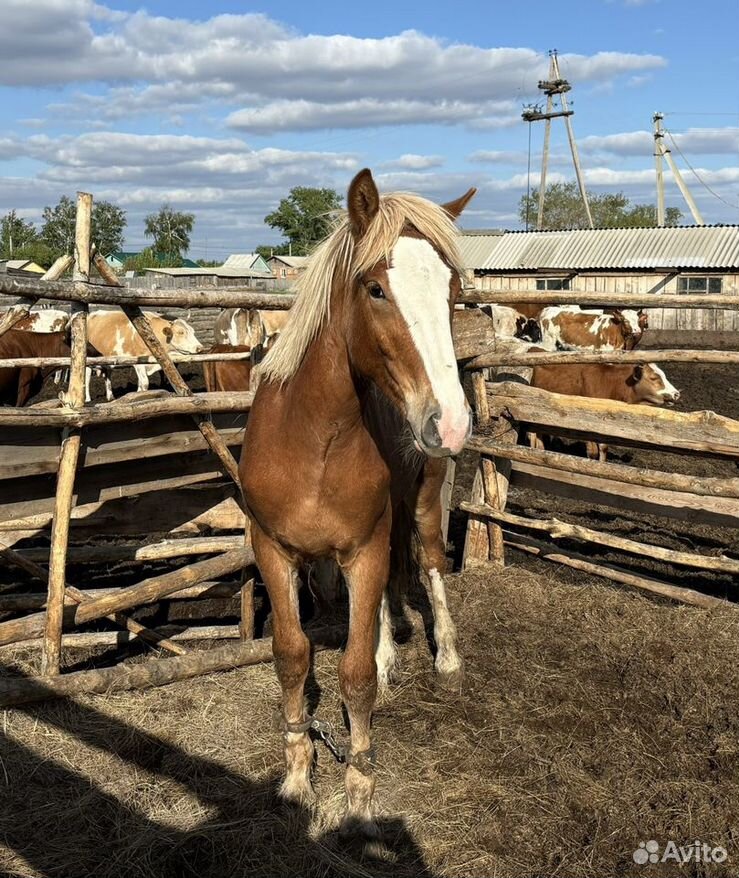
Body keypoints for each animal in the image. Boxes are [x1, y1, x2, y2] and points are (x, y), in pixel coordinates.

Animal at [240, 168, 476, 836]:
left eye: (452, 291)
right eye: (375, 288)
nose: (451, 422)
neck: (314, 439)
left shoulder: (363, 549)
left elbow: (356, 673)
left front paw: (360, 790)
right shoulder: (274, 551)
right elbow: (292, 655)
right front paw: (297, 777)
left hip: (422, 501)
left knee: (429, 561)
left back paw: (445, 656)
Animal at [528, 360, 680, 464]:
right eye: (654, 378)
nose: (676, 394)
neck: (610, 384)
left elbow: (603, 448)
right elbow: (593, 452)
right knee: (533, 434)